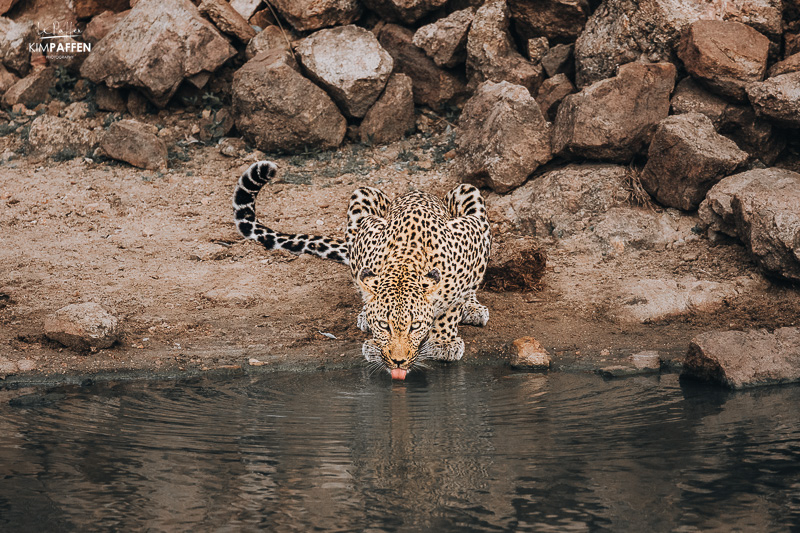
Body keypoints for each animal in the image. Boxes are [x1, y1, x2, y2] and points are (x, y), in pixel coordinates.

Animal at [234, 159, 490, 378]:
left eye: (415, 326)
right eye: (384, 326)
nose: (398, 362)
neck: (406, 263)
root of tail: (418, 190)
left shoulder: (472, 238)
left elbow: (452, 308)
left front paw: (443, 342)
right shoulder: (366, 235)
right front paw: (374, 336)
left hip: (469, 192)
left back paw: (473, 308)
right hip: (362, 195)